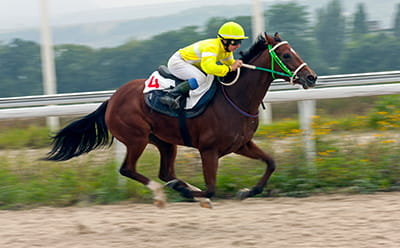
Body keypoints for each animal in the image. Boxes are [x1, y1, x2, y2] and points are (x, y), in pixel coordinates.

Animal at [46, 32, 316, 207]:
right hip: (136, 139)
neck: (236, 98)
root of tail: (111, 100)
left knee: (166, 172)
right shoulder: (209, 150)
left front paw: (247, 191)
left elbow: (271, 163)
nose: (311, 78)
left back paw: (180, 187)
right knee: (128, 169)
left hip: (165, 141)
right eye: (286, 55)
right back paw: (162, 193)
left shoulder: (241, 144)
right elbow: (211, 189)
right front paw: (194, 194)